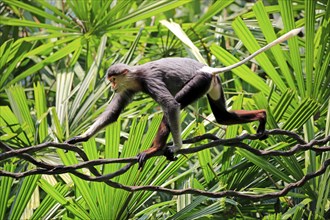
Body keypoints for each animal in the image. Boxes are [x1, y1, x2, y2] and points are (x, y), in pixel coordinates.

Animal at [66, 28, 302, 168]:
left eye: (113, 79)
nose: (112, 86)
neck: (136, 76)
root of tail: (207, 69)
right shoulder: (129, 88)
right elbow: (114, 113)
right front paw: (82, 138)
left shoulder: (150, 80)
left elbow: (170, 105)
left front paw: (177, 147)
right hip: (213, 85)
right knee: (222, 116)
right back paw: (261, 116)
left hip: (199, 83)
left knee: (170, 109)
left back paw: (156, 149)